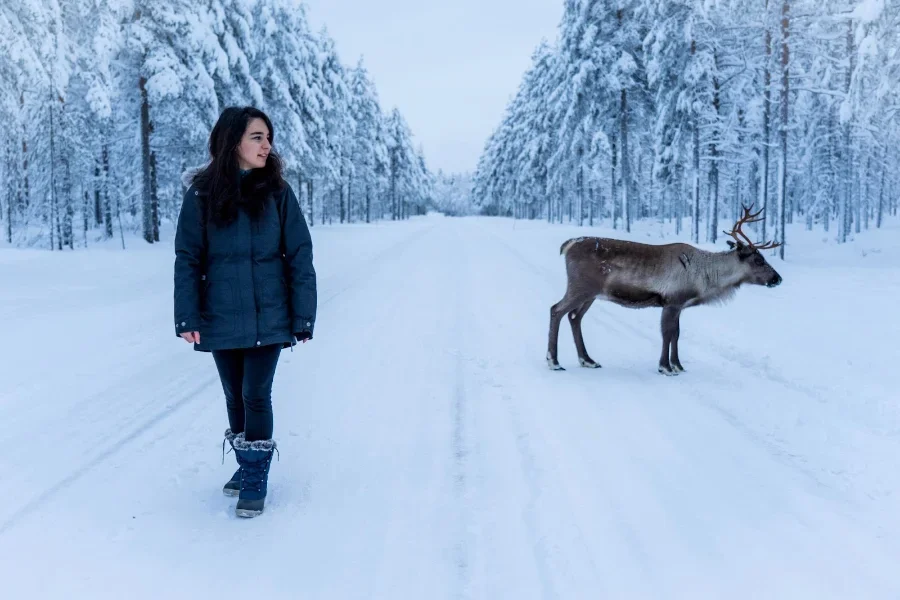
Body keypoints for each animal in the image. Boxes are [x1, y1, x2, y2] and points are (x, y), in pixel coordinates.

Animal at [547, 205, 783, 375]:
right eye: (759, 260)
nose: (778, 278)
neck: (705, 277)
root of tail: (567, 245)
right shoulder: (671, 302)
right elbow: (667, 333)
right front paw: (665, 367)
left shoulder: (678, 305)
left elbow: (676, 334)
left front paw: (678, 365)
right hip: (580, 287)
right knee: (556, 310)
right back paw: (554, 361)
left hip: (592, 294)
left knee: (574, 317)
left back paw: (588, 360)